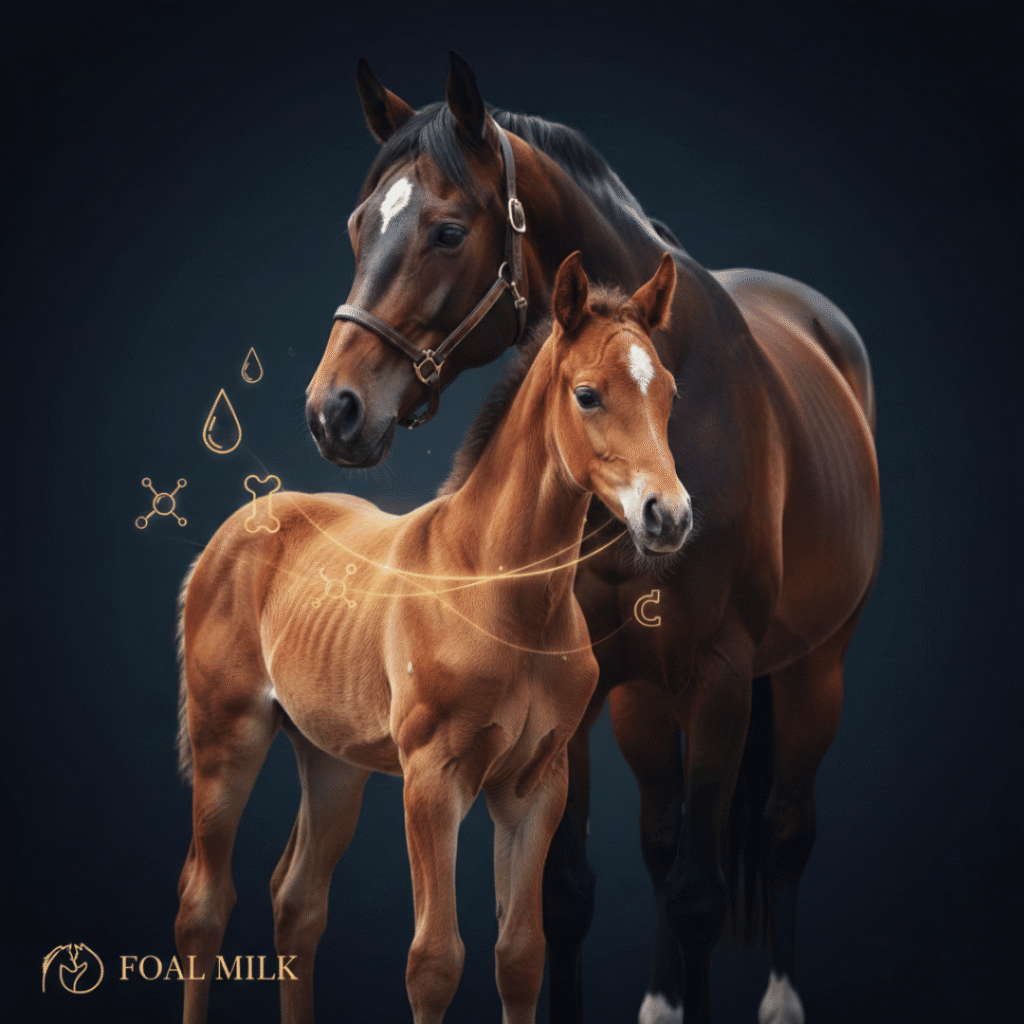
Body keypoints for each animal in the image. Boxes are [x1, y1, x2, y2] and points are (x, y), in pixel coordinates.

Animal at [174, 252, 689, 1024]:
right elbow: (434, 962)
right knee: (204, 904)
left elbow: (521, 956)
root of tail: (238, 528)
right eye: (588, 395)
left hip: (333, 759)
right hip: (227, 734)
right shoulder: (432, 779)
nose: (669, 516)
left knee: (297, 900)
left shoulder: (535, 785)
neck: (506, 599)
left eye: (669, 393)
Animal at [303, 51, 883, 1024]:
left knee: (783, 830)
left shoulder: (721, 676)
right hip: (645, 701)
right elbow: (566, 896)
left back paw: (779, 1000)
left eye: (449, 232)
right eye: (356, 224)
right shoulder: (575, 690)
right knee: (659, 839)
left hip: (815, 669)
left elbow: (698, 896)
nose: (334, 412)